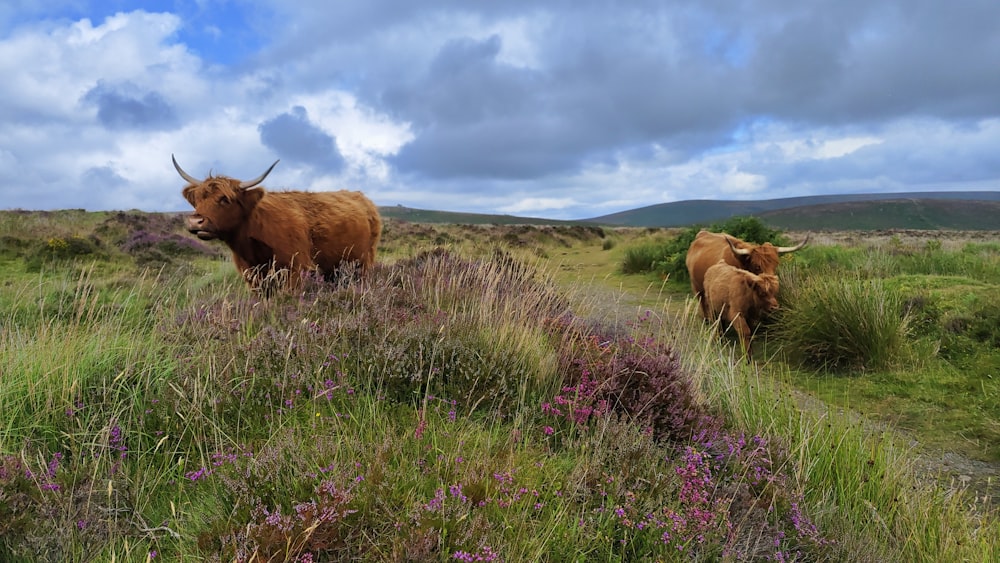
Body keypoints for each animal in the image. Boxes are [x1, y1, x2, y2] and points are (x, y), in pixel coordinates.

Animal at [174, 155, 380, 290]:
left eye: (225, 199)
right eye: (198, 199)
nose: (196, 221)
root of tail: (362, 197)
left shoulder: (295, 271)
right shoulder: (253, 277)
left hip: (364, 263)